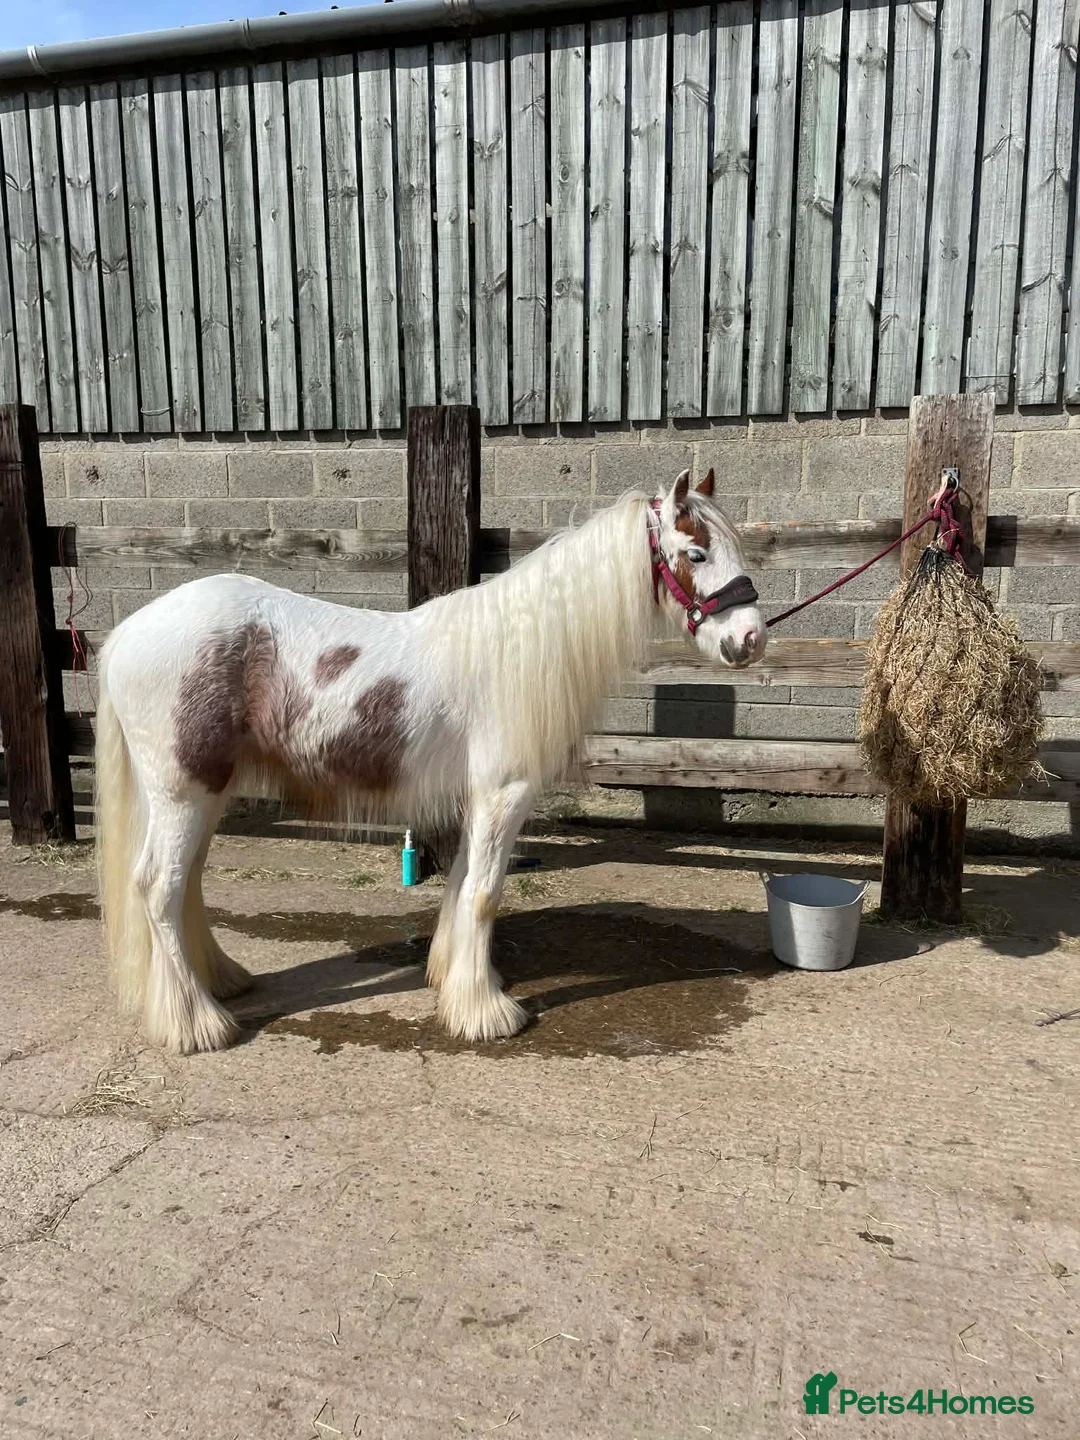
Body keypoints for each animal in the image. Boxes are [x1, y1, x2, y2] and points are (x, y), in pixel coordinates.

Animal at [95, 468, 766, 1054]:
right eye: (697, 554)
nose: (751, 640)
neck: (516, 647)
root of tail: (127, 633)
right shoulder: (504, 793)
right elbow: (486, 894)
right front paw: (487, 1015)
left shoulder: (482, 799)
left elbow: (464, 884)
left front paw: (460, 982)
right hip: (184, 792)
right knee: (158, 888)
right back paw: (197, 1023)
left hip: (204, 794)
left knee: (185, 885)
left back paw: (222, 981)